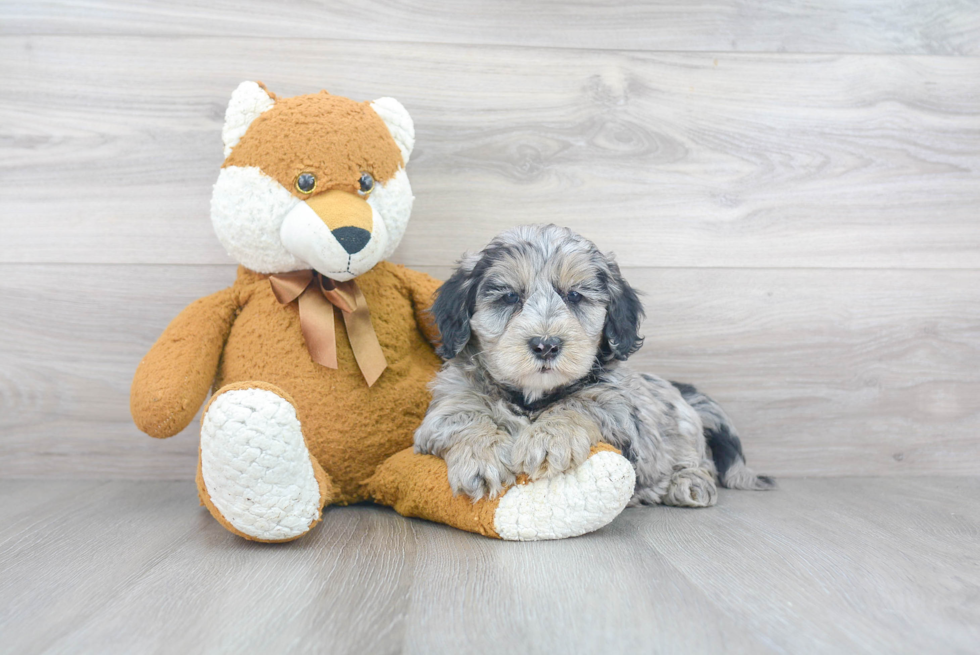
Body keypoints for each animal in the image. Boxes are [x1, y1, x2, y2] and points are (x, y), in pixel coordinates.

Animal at [414, 226, 772, 508]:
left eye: (574, 296)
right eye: (509, 297)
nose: (546, 345)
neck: (531, 397)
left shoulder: (620, 412)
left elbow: (581, 402)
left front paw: (549, 438)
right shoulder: (446, 407)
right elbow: (465, 417)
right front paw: (481, 458)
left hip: (682, 434)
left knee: (699, 462)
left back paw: (687, 485)